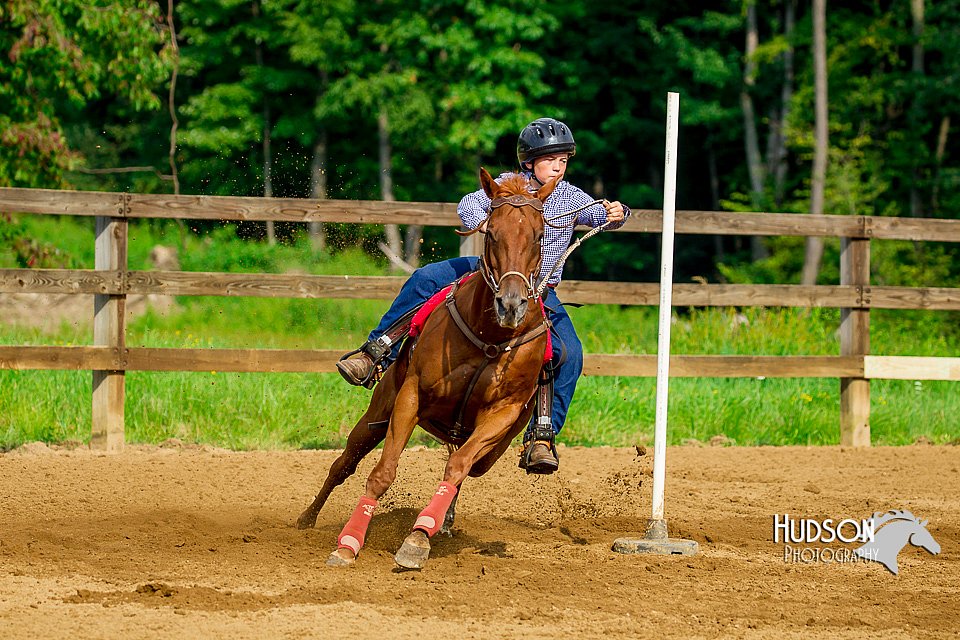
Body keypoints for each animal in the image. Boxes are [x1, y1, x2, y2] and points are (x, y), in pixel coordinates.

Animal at [298, 168, 556, 568]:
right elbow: (382, 473)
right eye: (491, 232)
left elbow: (457, 467)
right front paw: (348, 543)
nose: (511, 305)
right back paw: (306, 519)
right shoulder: (411, 394)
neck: (491, 336)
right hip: (379, 411)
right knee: (344, 464)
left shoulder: (502, 415)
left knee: (464, 467)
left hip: (487, 447)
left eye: (540, 235)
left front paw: (418, 538)